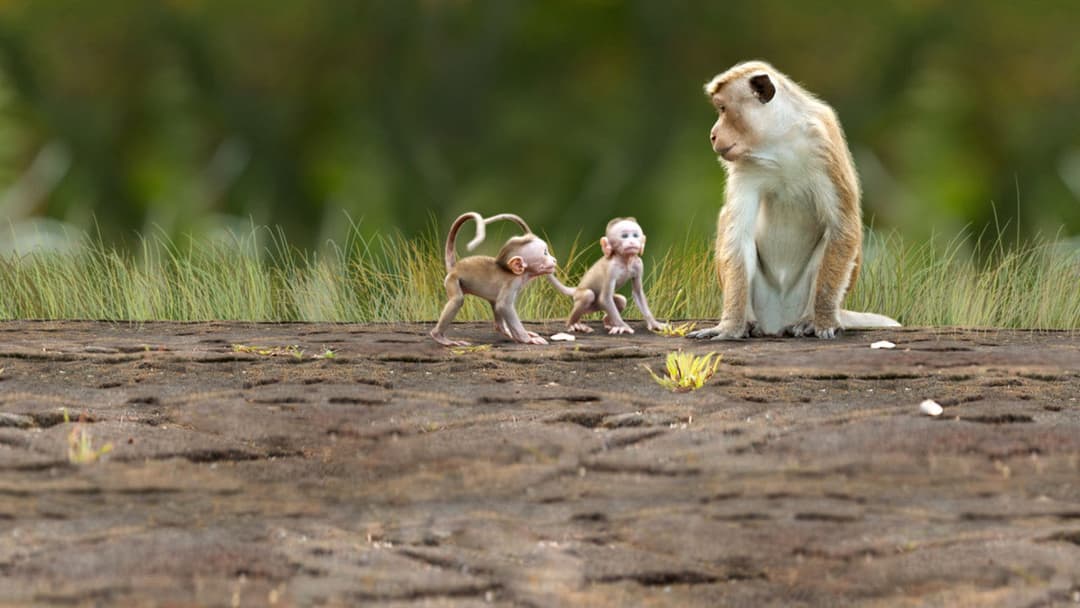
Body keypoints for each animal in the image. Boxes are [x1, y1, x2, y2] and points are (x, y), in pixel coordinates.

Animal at [430, 212, 557, 347]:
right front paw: (527, 339)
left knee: (494, 304)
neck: (520, 273)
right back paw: (439, 336)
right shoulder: (513, 282)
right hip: (452, 280)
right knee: (458, 300)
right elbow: (503, 306)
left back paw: (504, 330)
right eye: (545, 253)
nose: (554, 260)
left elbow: (499, 305)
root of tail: (455, 267)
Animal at [686, 60, 900, 341]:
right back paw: (749, 322)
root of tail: (777, 320)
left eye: (723, 108)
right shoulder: (745, 166)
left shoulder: (823, 142)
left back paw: (809, 319)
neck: (778, 141)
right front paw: (730, 327)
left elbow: (843, 226)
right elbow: (738, 235)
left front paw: (822, 321)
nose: (712, 135)